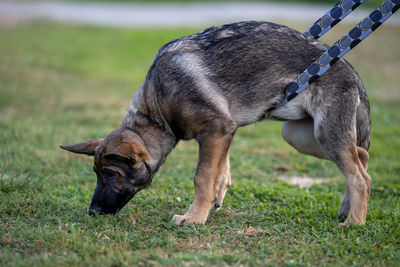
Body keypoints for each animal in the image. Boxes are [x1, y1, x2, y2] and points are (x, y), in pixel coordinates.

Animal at [60, 21, 372, 227]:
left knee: (359, 176)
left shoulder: (216, 130)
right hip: (300, 135)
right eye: (96, 173)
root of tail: (353, 73)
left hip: (324, 133)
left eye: (110, 174)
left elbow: (202, 177)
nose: (93, 212)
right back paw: (347, 208)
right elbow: (219, 173)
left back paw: (354, 222)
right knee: (361, 156)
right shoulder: (224, 132)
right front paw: (211, 204)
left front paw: (194, 217)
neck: (156, 111)